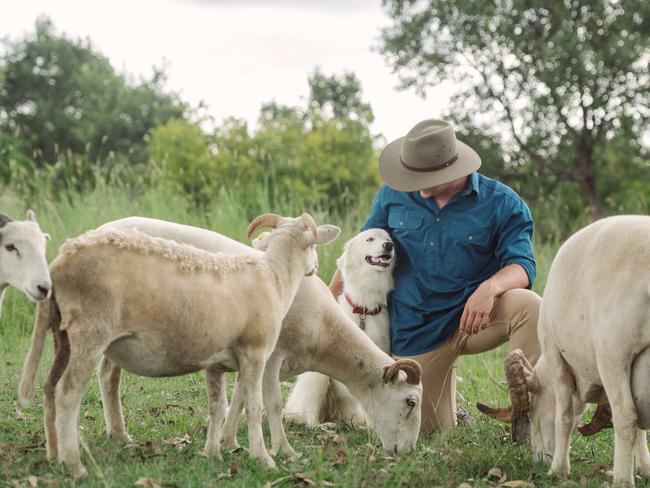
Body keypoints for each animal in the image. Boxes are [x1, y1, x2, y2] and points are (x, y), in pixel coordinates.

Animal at [280, 229, 392, 428]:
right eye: (370, 239)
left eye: (389, 239)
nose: (389, 245)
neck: (364, 309)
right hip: (318, 377)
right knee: (309, 417)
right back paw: (324, 426)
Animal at [476, 217, 648, 488]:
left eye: (532, 413)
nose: (538, 460)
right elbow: (643, 428)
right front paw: (645, 469)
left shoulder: (555, 356)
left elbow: (564, 417)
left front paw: (557, 470)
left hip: (612, 357)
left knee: (626, 416)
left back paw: (622, 479)